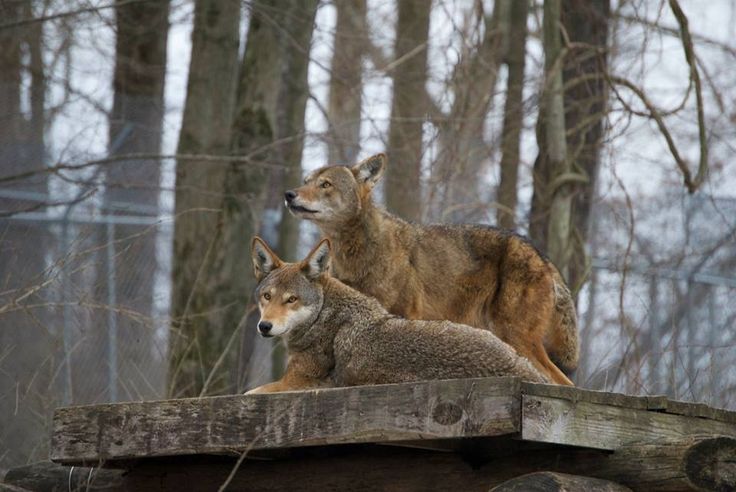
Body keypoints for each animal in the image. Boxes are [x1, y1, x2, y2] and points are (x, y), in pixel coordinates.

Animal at [247, 236, 548, 394]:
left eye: (291, 300)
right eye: (267, 297)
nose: (264, 326)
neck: (323, 316)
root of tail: (528, 376)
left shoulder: (295, 382)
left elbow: (250, 391)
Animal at [284, 154, 576, 384]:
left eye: (325, 184)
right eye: (306, 180)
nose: (289, 194)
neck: (358, 253)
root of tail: (545, 260)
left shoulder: (402, 317)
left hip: (516, 337)